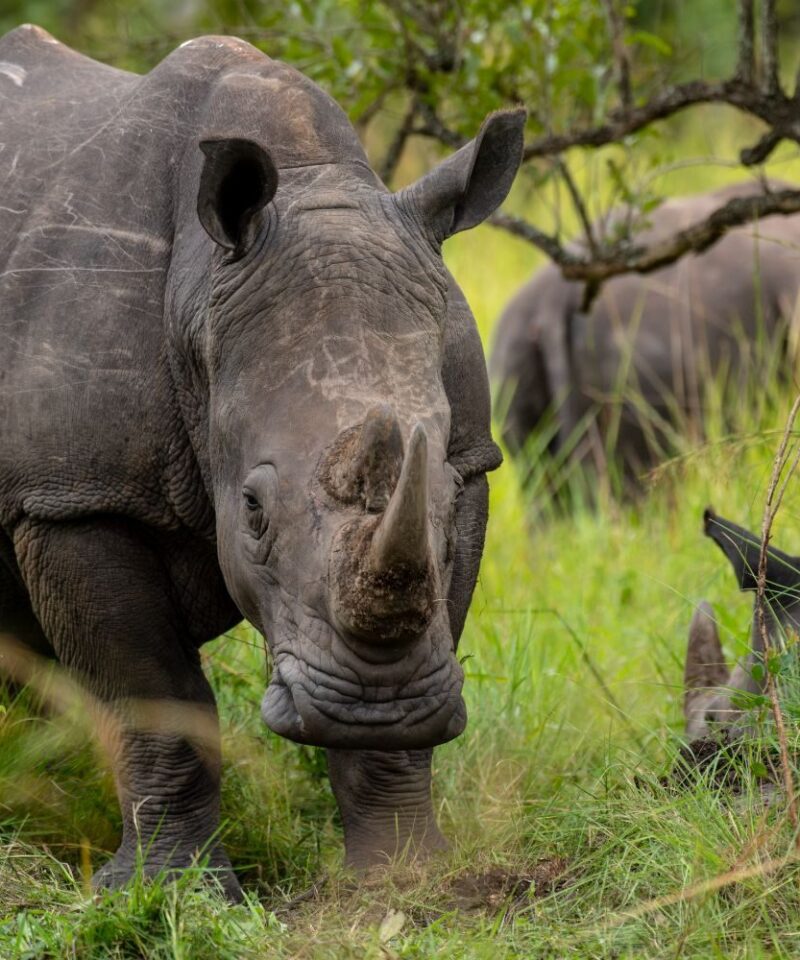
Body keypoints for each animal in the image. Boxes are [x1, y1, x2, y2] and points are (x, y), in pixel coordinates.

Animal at [0, 25, 525, 900]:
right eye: (250, 510)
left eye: (447, 499)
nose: (376, 705)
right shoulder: (74, 493)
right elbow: (160, 696)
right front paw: (164, 891)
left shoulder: (472, 458)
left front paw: (402, 876)